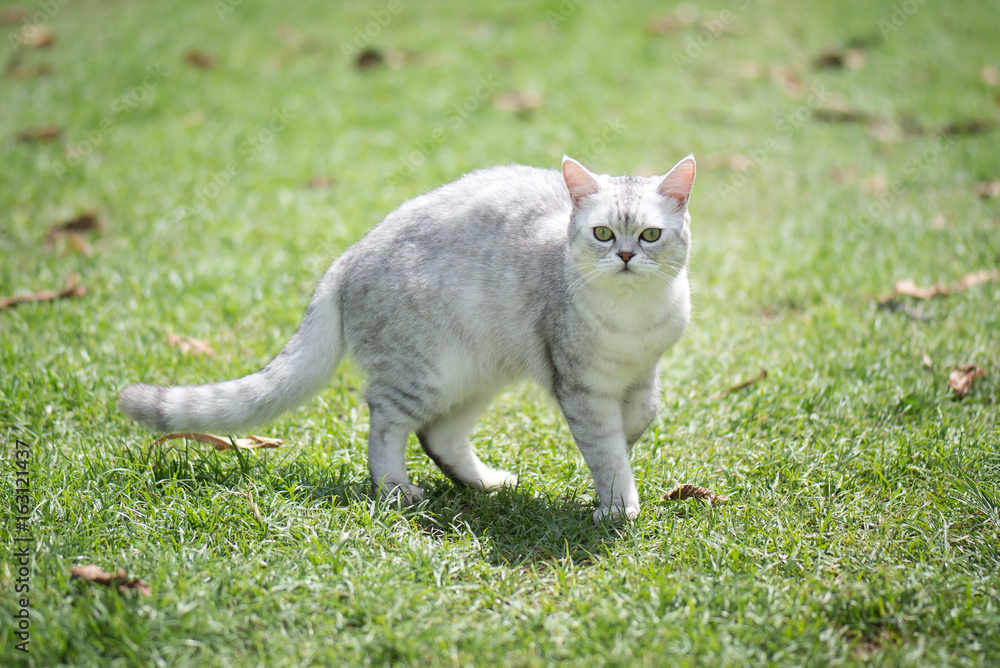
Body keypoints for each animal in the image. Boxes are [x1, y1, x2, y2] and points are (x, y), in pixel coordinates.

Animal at [119, 155, 696, 520]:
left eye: (650, 234)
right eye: (603, 233)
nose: (626, 256)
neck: (631, 318)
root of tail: (349, 255)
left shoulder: (645, 371)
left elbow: (641, 417)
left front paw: (628, 443)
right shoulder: (580, 389)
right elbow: (604, 450)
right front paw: (617, 505)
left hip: (479, 375)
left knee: (438, 436)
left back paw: (485, 483)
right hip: (425, 375)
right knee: (386, 422)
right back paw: (395, 489)